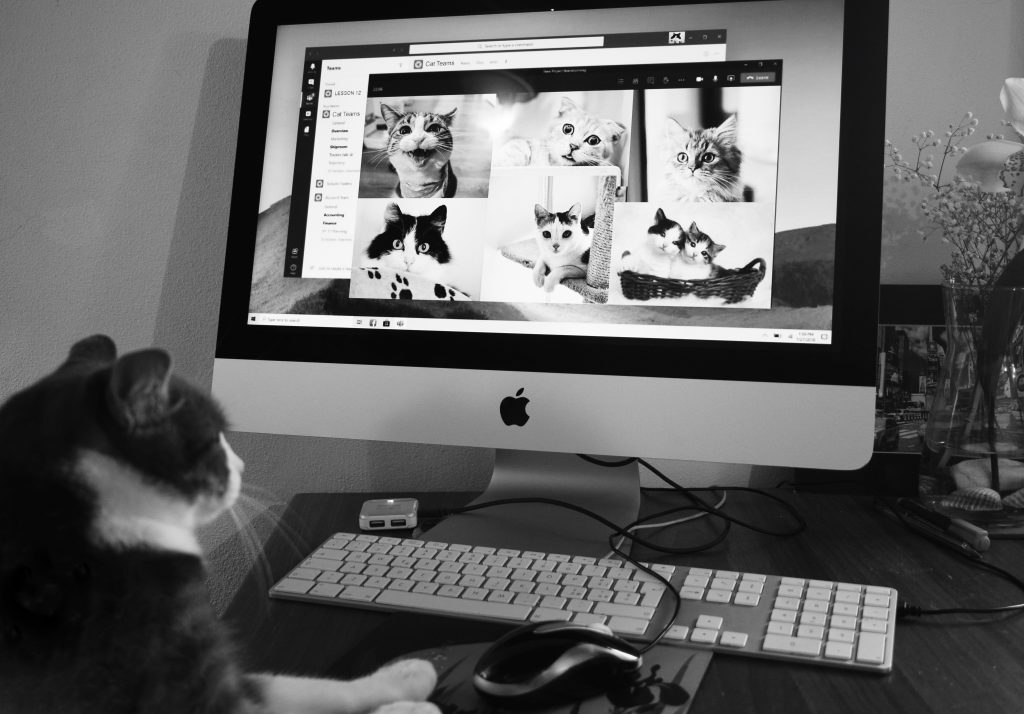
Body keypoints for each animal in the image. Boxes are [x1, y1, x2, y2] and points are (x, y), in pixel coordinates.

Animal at [0, 336, 436, 712]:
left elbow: (299, 684)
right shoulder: (187, 688)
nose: (242, 466)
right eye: (214, 440)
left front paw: (407, 675)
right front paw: (412, 705)